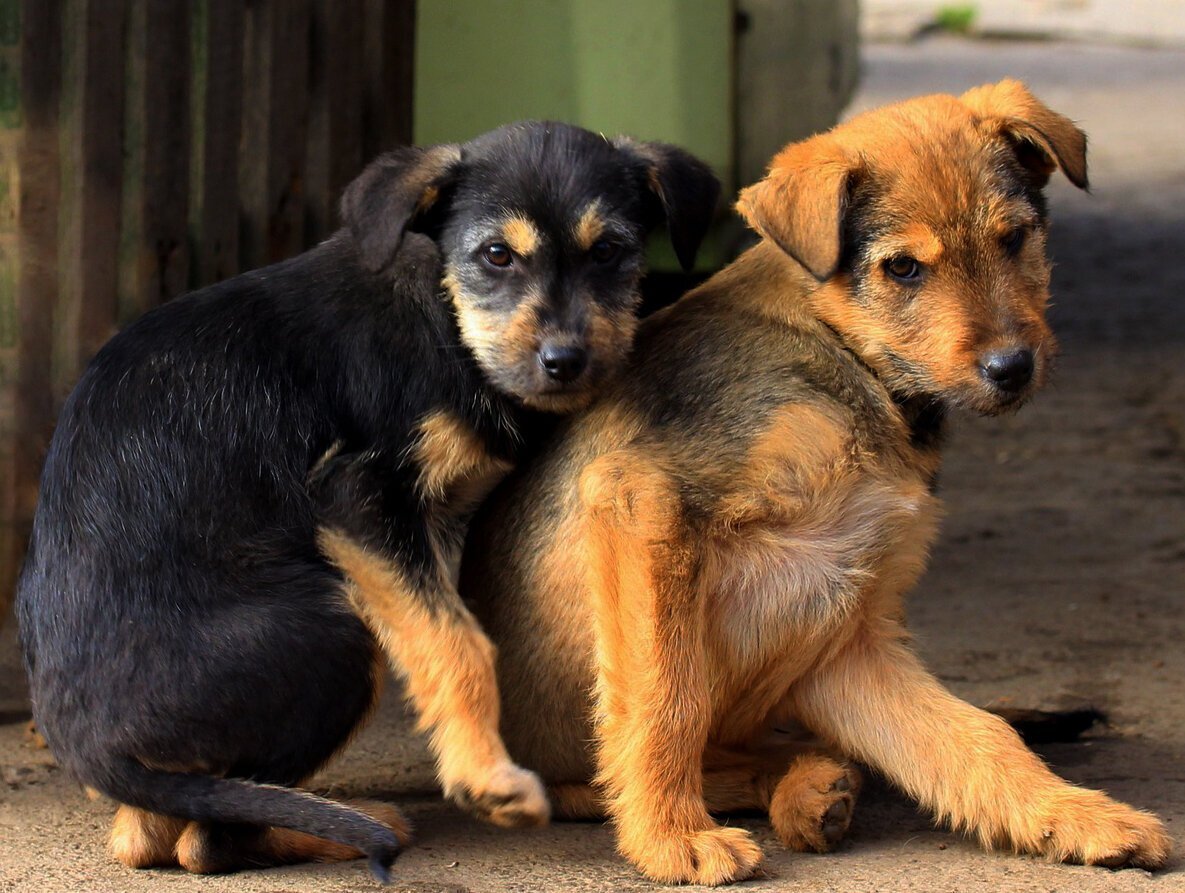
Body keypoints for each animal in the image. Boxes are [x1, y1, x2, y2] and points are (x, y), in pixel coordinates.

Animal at [18, 120, 715, 876]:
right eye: (496, 255)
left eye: (609, 251)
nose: (565, 362)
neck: (446, 314)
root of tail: (86, 746)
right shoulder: (360, 495)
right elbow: (455, 639)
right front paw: (488, 778)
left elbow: (439, 627)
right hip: (337, 636)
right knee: (206, 840)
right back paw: (355, 825)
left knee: (152, 831)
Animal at [459, 78, 1166, 885]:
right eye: (902, 269)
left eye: (1014, 238)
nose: (1012, 368)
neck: (847, 356)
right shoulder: (639, 498)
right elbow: (665, 696)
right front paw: (671, 838)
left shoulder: (846, 636)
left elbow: (975, 737)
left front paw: (1075, 816)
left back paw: (812, 789)